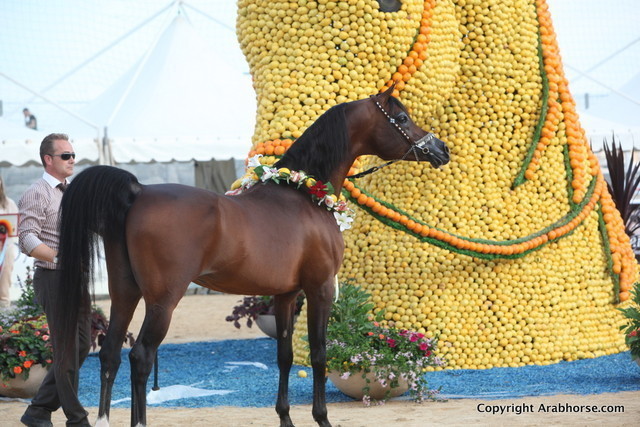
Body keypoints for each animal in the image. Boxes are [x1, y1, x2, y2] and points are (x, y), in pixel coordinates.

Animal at [53, 84, 450, 427]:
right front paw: (321, 418)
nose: (441, 150)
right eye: (401, 117)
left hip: (125, 293)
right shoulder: (319, 289)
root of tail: (138, 192)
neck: (305, 194)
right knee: (140, 357)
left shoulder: (286, 295)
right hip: (163, 300)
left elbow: (285, 357)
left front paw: (286, 418)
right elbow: (319, 354)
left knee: (110, 354)